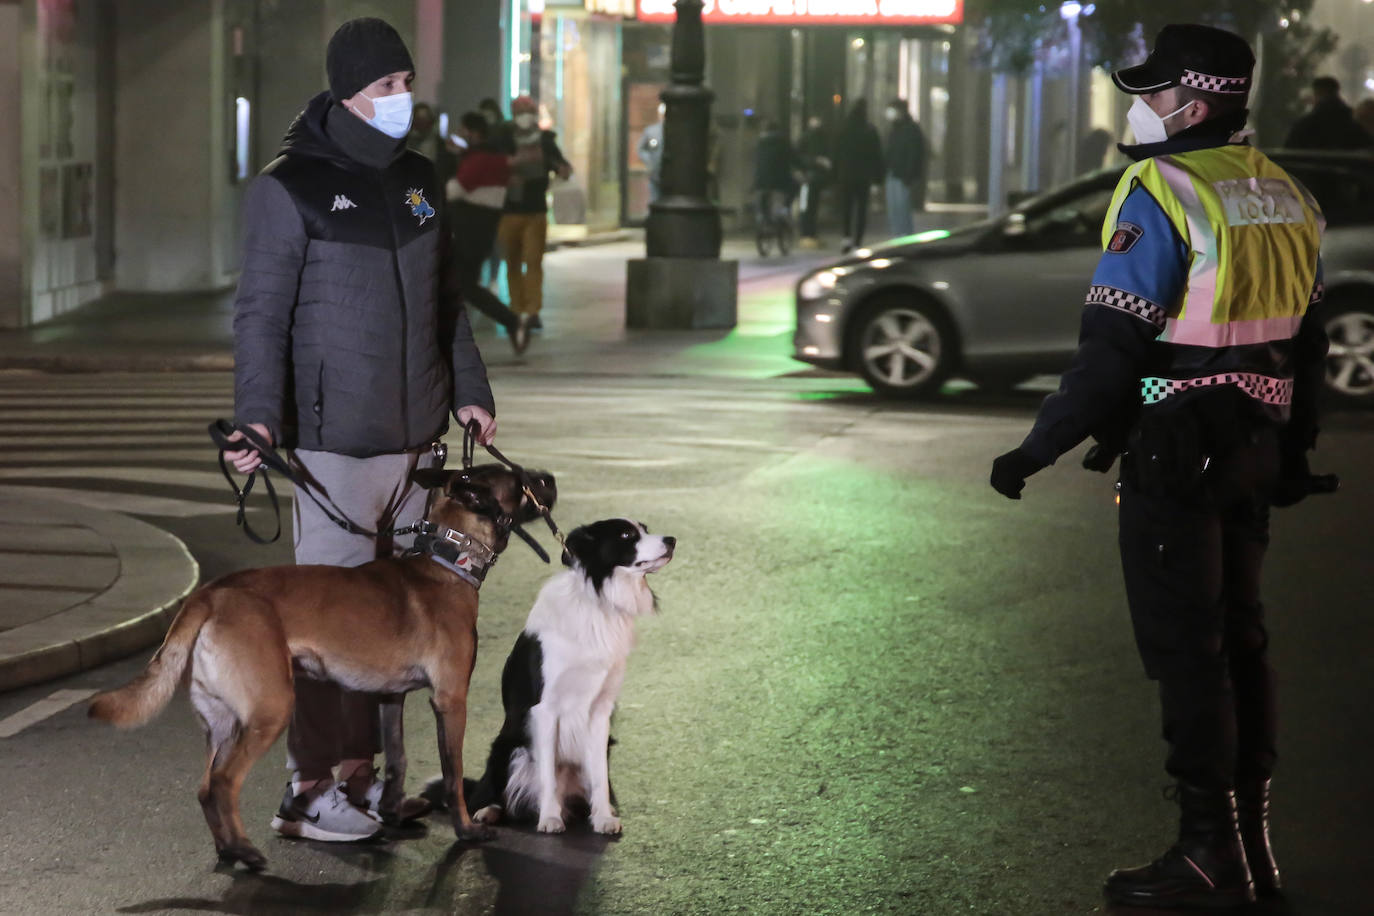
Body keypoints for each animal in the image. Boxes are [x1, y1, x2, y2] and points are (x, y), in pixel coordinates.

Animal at [91, 466, 555, 873]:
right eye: (521, 479)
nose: (550, 478)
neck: (448, 557)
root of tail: (212, 592)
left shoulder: (391, 698)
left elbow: (397, 758)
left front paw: (391, 811)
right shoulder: (451, 701)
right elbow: (454, 773)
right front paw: (465, 828)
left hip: (222, 720)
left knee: (205, 787)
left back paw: (226, 849)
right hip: (271, 709)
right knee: (224, 782)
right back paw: (246, 851)